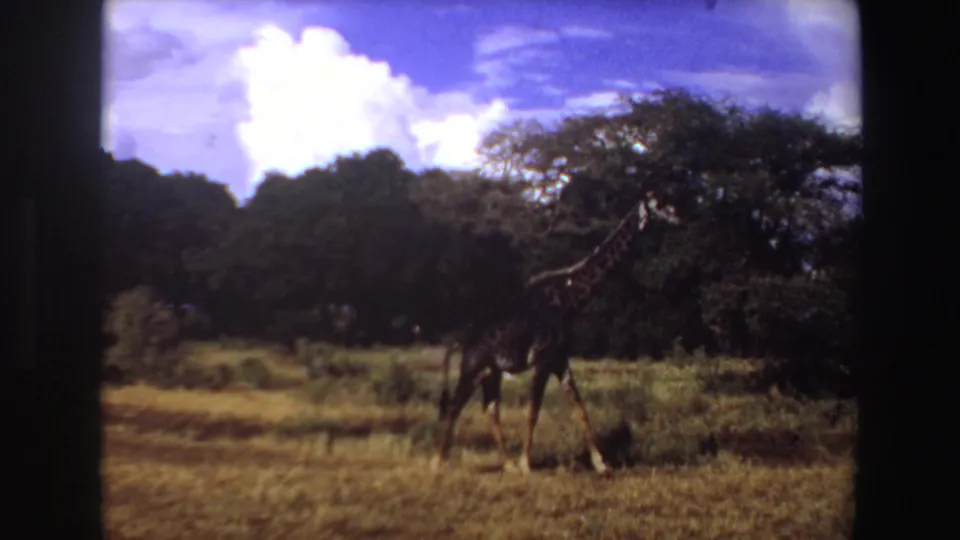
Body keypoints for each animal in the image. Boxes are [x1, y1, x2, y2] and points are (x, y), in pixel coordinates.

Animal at [431, 192, 681, 475]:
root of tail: (458, 337)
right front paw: (527, 464)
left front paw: (602, 463)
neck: (570, 298)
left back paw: (507, 464)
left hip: (490, 372)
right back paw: (437, 463)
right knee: (455, 406)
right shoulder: (542, 358)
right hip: (472, 367)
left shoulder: (560, 359)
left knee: (490, 408)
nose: (678, 217)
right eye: (659, 204)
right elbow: (533, 411)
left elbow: (580, 407)